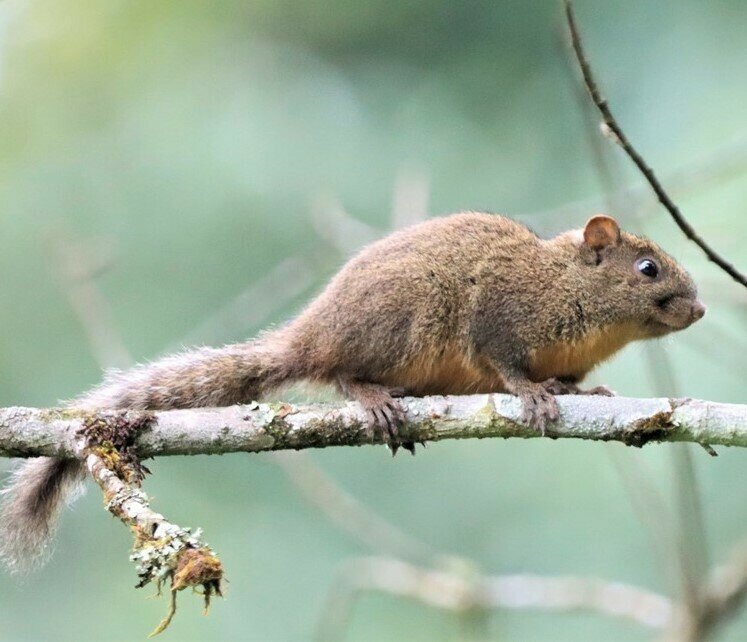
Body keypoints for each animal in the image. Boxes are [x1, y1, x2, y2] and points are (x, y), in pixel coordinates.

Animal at [0, 211, 705, 572]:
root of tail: (311, 334)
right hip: (403, 321)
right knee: (341, 371)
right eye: (648, 269)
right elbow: (505, 365)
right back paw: (371, 396)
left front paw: (585, 388)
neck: (565, 288)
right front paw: (532, 393)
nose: (699, 310)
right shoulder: (500, 317)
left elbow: (570, 379)